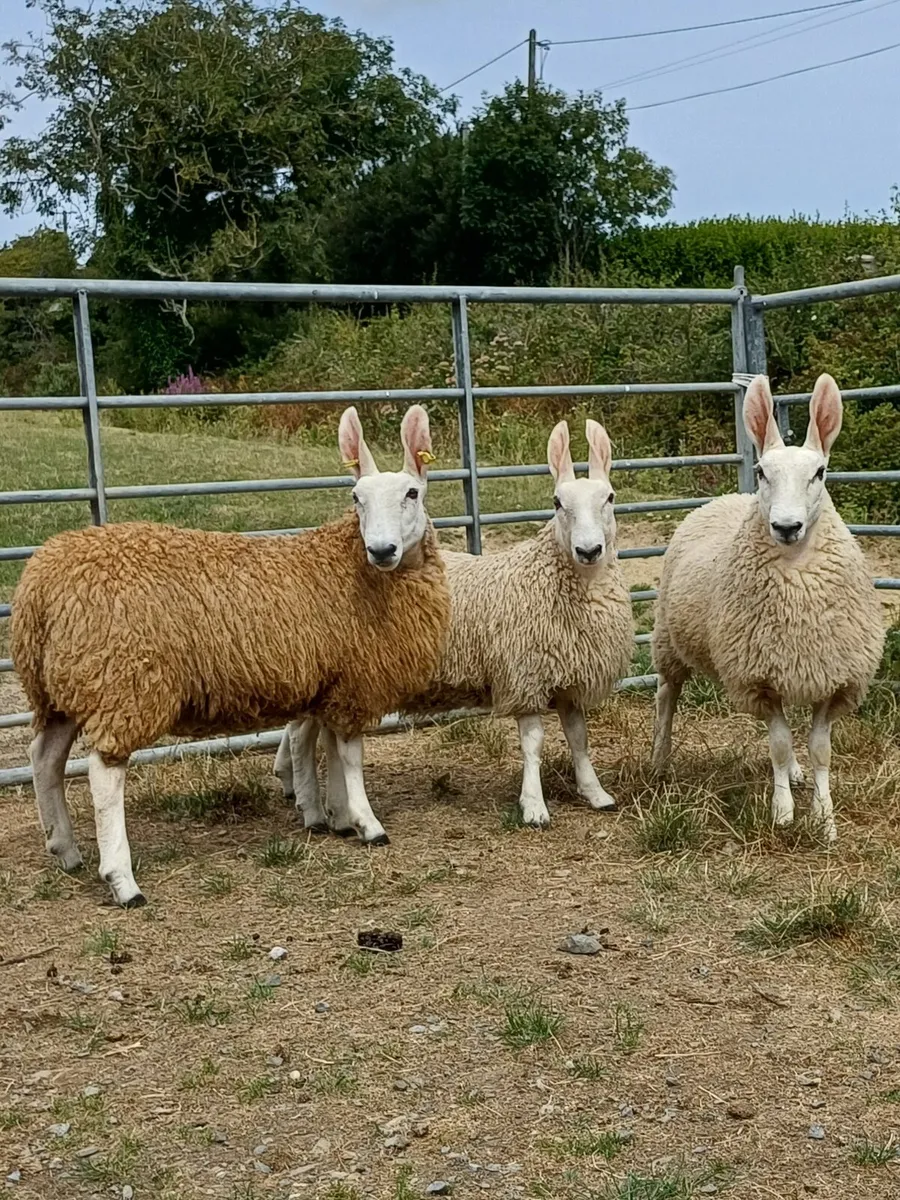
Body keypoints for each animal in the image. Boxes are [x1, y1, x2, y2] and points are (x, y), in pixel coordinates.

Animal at [10, 404, 451, 906]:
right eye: (356, 497)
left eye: (412, 493)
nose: (381, 549)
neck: (351, 567)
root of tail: (42, 583)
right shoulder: (357, 679)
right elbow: (350, 755)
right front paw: (366, 822)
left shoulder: (333, 678)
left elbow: (330, 748)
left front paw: (336, 816)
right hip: (122, 682)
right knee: (103, 775)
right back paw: (122, 880)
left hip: (65, 685)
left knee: (45, 758)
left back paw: (65, 850)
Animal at [276, 419, 634, 831]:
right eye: (558, 503)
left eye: (609, 498)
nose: (589, 550)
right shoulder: (523, 674)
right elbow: (534, 743)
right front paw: (534, 806)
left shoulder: (568, 678)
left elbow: (579, 738)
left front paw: (595, 792)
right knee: (302, 735)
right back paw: (313, 807)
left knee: (309, 732)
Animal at [651, 374, 885, 842]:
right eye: (762, 471)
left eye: (819, 472)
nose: (786, 526)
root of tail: (725, 497)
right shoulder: (757, 679)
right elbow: (777, 743)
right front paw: (783, 813)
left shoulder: (831, 679)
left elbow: (819, 750)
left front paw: (825, 818)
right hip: (669, 639)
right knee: (667, 695)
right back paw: (660, 761)